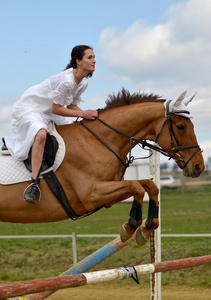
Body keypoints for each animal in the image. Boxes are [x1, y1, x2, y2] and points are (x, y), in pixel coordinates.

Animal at [0, 87, 204, 246]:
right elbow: (137, 187)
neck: (100, 140)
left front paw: (147, 227)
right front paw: (130, 226)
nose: (198, 166)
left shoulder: (107, 195)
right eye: (180, 127)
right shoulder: (91, 194)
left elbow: (149, 185)